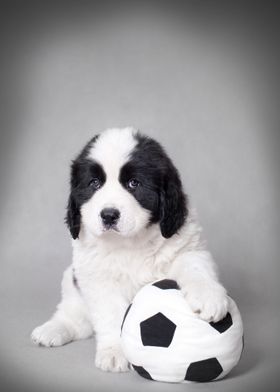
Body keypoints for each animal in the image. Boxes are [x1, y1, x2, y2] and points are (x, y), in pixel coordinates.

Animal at [31, 129, 228, 374]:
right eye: (94, 183)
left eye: (134, 183)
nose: (108, 215)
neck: (130, 243)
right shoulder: (97, 278)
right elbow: (112, 315)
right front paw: (115, 352)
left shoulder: (187, 246)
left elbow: (194, 266)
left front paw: (209, 298)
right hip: (71, 280)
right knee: (75, 316)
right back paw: (52, 329)